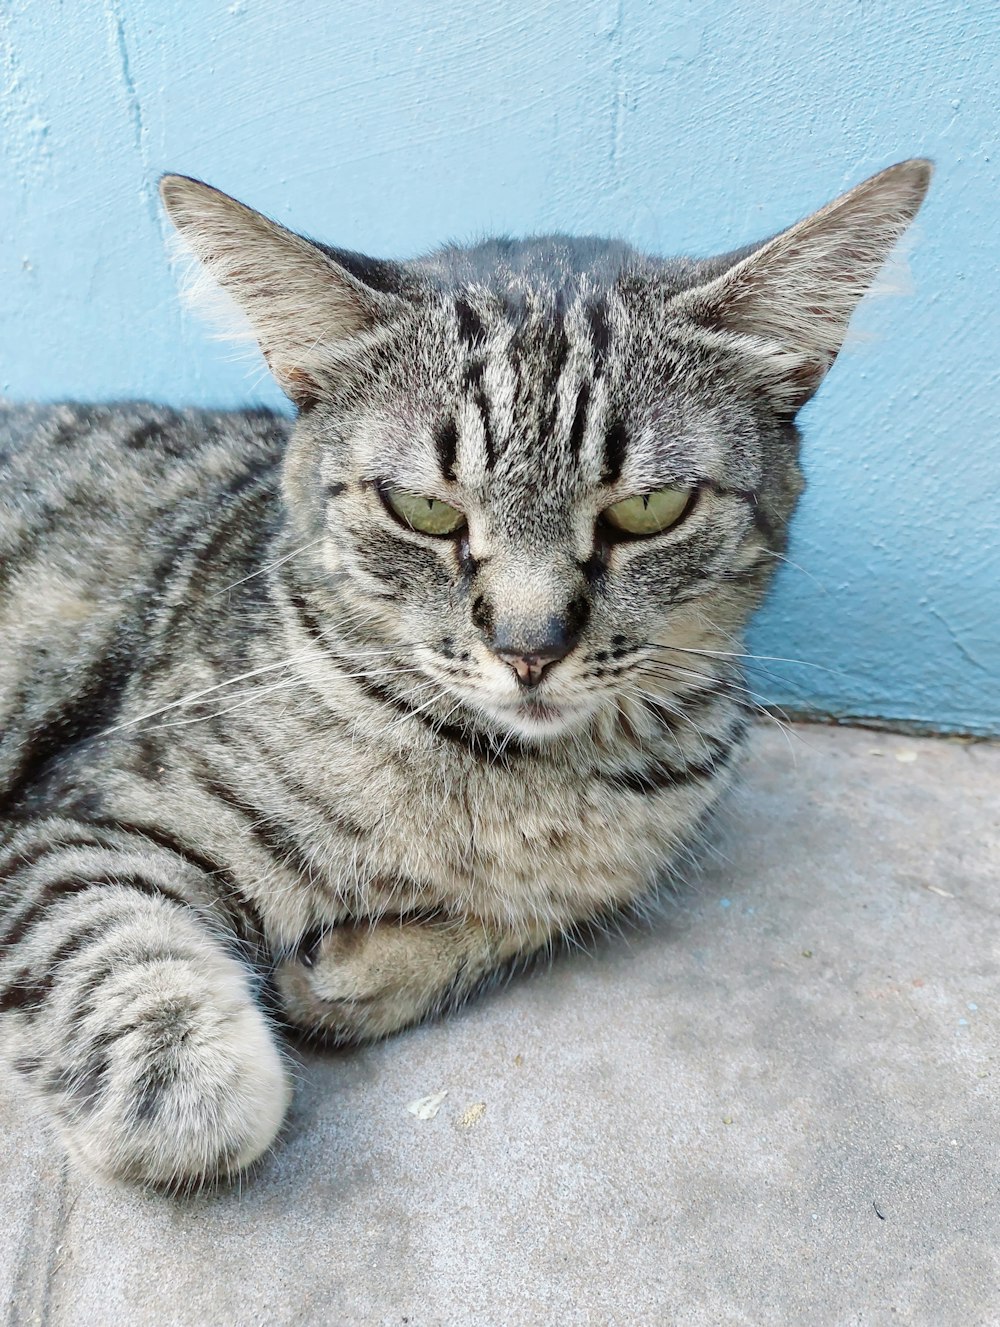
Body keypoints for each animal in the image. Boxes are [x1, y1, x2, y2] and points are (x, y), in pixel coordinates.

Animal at [0, 160, 928, 1188]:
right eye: (424, 511)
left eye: (649, 509)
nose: (531, 646)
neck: (521, 778)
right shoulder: (73, 817)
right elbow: (168, 1053)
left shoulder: (630, 845)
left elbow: (558, 900)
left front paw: (367, 963)